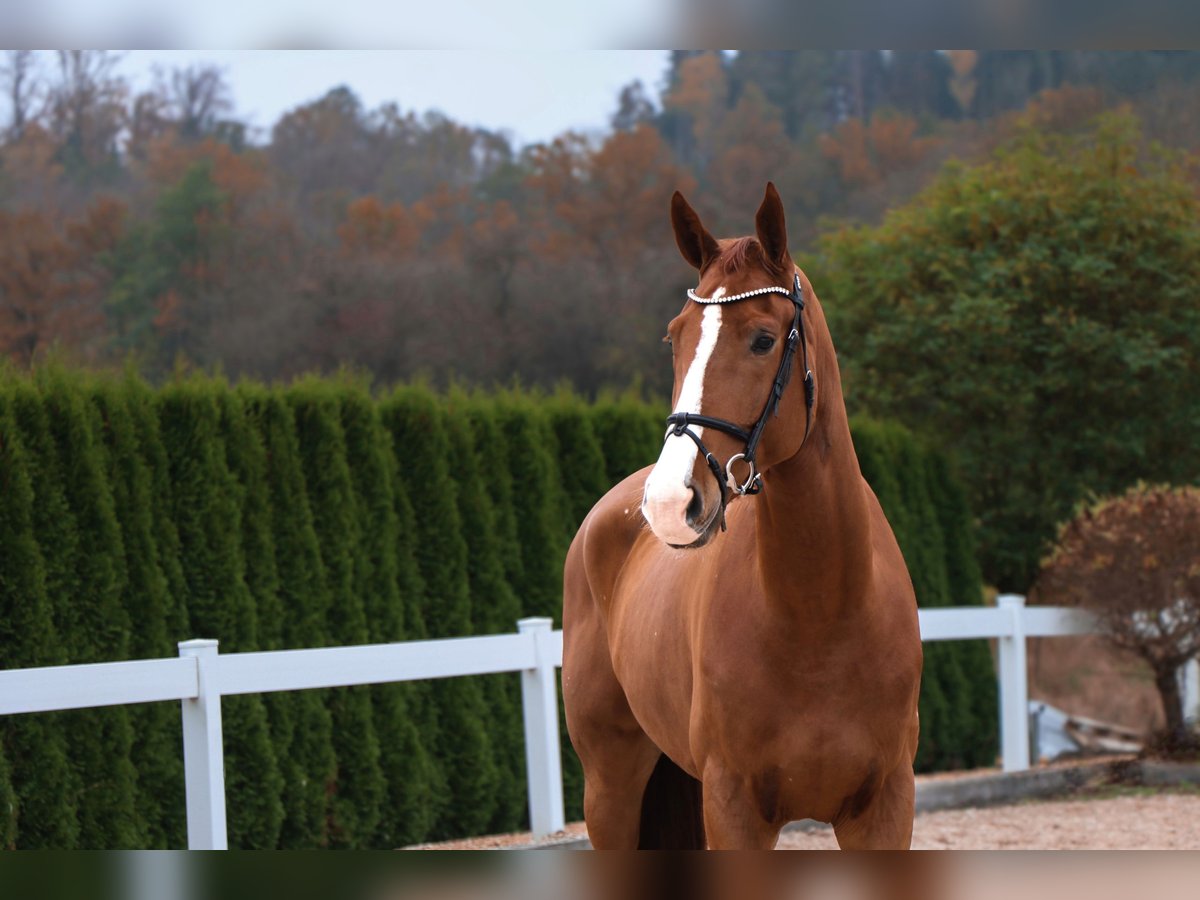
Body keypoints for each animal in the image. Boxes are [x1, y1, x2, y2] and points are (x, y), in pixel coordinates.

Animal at [559, 184, 916, 854]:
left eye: (763, 339)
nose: (669, 503)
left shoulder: (885, 806)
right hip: (610, 789)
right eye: (675, 337)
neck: (821, 615)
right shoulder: (735, 808)